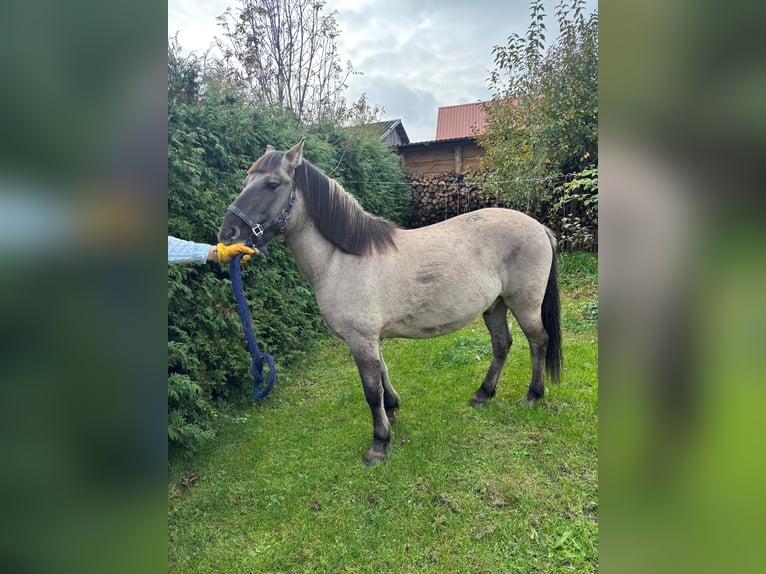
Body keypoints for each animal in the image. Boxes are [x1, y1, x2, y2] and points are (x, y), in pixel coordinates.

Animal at [218, 140, 562, 465]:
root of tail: (539, 228)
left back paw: (532, 395)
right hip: (495, 305)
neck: (340, 260)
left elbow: (371, 391)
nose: (227, 233)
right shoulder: (371, 339)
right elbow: (383, 374)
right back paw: (483, 394)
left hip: (524, 304)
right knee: (503, 344)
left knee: (538, 341)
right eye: (247, 180)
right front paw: (393, 410)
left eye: (272, 184)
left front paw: (379, 444)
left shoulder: (360, 339)